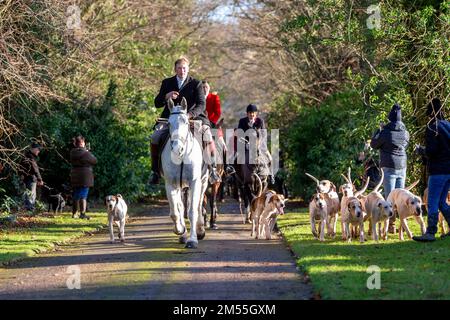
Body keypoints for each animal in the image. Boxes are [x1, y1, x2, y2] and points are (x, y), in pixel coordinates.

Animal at [161, 99, 208, 249]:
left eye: (186, 122)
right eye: (169, 123)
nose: (177, 149)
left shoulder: (195, 182)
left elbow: (192, 211)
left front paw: (193, 240)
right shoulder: (170, 184)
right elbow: (176, 212)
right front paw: (180, 230)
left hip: (203, 181)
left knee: (199, 205)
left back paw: (200, 230)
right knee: (181, 207)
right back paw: (183, 235)